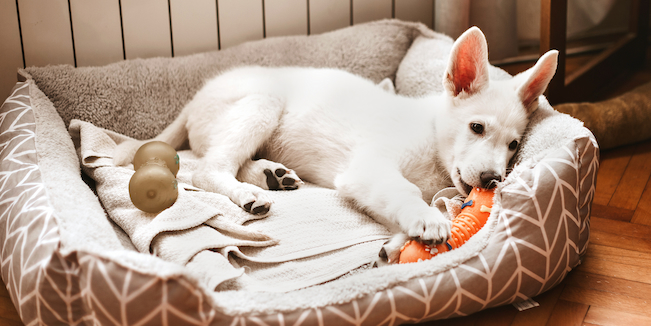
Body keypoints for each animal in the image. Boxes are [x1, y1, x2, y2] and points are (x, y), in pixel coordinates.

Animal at [113, 27, 560, 262]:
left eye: (514, 145)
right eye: (476, 127)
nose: (492, 180)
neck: (433, 141)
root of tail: (194, 99)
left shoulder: (368, 184)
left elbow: (392, 207)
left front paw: (396, 244)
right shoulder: (370, 169)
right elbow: (406, 192)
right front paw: (426, 220)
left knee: (228, 161)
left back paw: (272, 176)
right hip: (261, 103)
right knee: (208, 167)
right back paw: (248, 194)